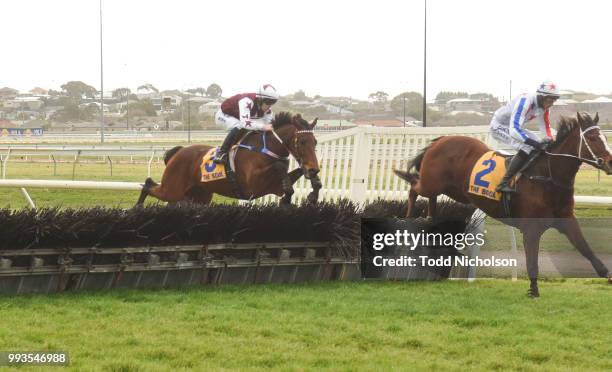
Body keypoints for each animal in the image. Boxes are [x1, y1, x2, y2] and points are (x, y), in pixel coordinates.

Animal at [137, 112, 322, 206]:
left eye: (315, 142)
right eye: (302, 141)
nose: (313, 168)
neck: (265, 149)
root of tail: (179, 151)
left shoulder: (273, 186)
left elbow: (295, 176)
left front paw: (312, 192)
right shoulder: (253, 185)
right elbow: (279, 166)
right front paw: (289, 197)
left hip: (199, 195)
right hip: (172, 189)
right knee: (148, 185)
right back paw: (138, 208)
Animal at [394, 112, 612, 298]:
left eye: (604, 137)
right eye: (592, 138)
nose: (610, 163)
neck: (547, 176)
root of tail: (440, 140)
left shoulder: (566, 219)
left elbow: (585, 248)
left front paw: (606, 274)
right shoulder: (531, 228)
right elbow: (532, 260)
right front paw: (533, 290)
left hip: (450, 190)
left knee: (430, 198)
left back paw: (430, 220)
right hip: (431, 183)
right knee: (413, 188)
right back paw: (409, 218)